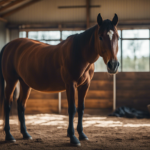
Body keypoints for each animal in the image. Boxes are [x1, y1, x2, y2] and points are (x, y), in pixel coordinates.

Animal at [0, 13, 119, 146]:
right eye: (100, 37)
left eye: (118, 37)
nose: (113, 65)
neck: (79, 53)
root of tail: (9, 45)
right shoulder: (70, 85)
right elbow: (72, 109)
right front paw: (73, 137)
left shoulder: (85, 86)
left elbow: (81, 108)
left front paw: (82, 135)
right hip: (11, 81)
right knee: (7, 104)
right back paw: (9, 136)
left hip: (25, 83)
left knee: (21, 105)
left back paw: (26, 134)